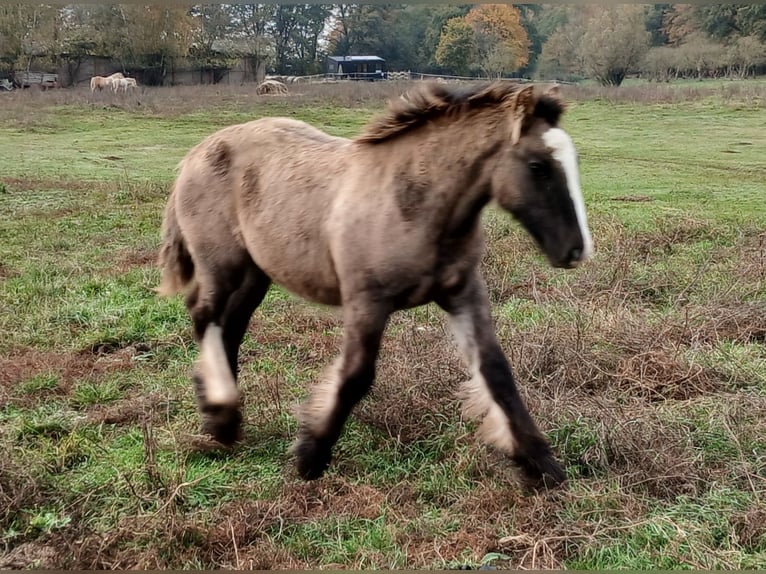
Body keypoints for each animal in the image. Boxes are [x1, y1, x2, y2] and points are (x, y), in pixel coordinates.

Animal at [159, 81, 596, 490]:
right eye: (538, 166)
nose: (575, 250)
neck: (413, 204)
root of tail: (195, 153)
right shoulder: (366, 301)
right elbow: (355, 376)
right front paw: (310, 456)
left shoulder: (464, 293)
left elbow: (496, 369)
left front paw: (541, 463)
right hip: (222, 264)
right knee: (205, 315)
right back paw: (221, 414)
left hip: (255, 273)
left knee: (230, 327)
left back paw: (220, 419)